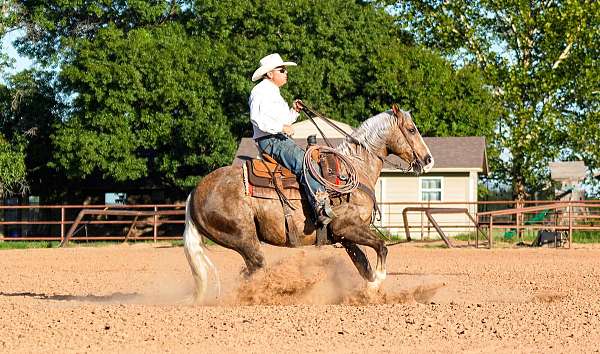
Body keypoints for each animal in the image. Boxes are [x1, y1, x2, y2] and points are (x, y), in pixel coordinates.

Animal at [182, 104, 432, 302]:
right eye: (411, 129)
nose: (428, 160)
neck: (355, 168)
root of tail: (195, 193)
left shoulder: (346, 236)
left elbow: (364, 266)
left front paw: (369, 292)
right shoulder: (347, 227)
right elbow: (381, 247)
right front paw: (374, 287)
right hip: (244, 239)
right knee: (256, 272)